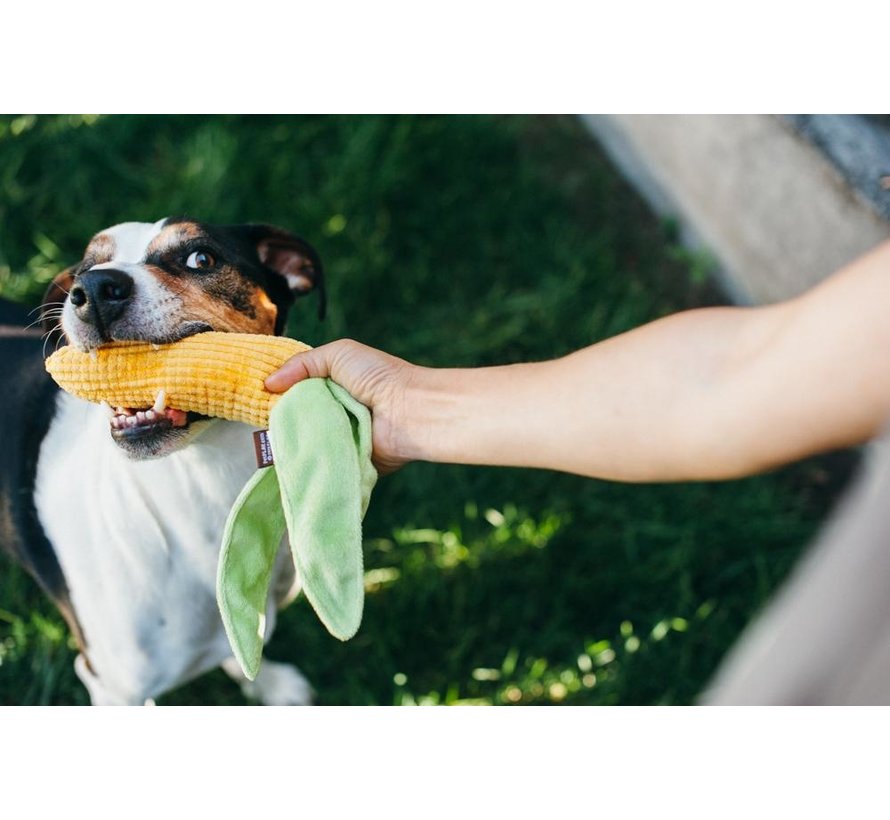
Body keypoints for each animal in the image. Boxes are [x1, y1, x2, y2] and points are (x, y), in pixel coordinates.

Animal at [0, 218, 326, 704]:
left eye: (201, 258)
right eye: (87, 267)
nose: (93, 288)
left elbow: (242, 651)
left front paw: (271, 686)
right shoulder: (110, 686)